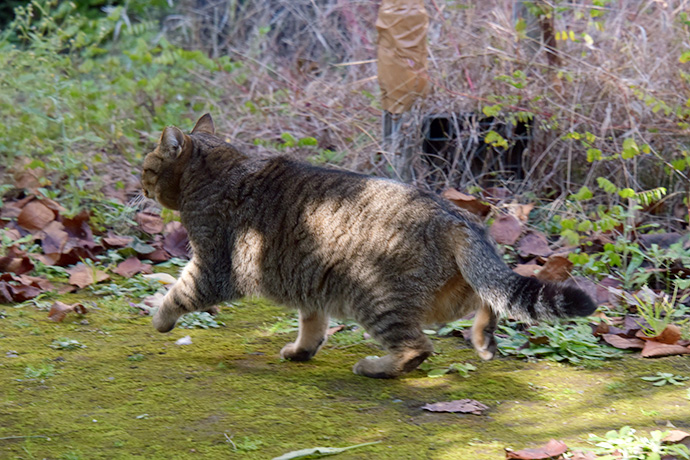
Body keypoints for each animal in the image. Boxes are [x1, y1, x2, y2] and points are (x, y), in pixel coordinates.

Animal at [142, 114, 592, 378]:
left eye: (148, 168)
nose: (140, 185)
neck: (217, 170)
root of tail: (456, 217)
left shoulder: (213, 267)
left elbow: (179, 292)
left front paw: (159, 317)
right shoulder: (308, 282)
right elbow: (312, 326)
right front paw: (301, 352)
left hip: (376, 298)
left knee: (417, 347)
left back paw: (375, 367)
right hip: (449, 294)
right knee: (489, 299)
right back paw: (483, 341)